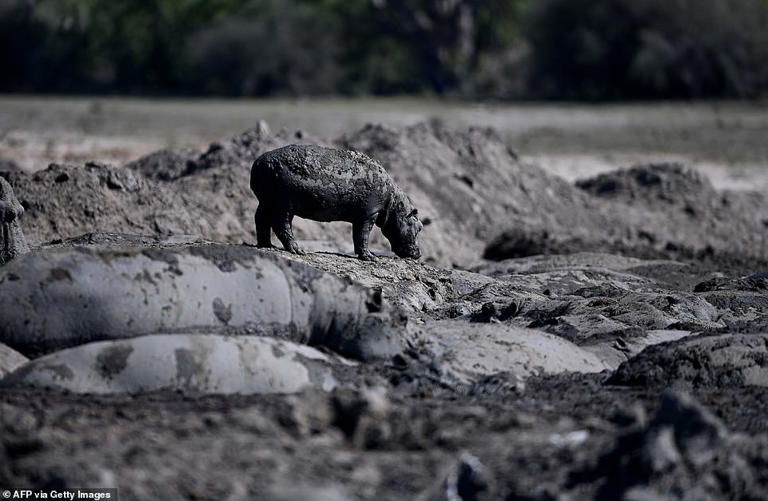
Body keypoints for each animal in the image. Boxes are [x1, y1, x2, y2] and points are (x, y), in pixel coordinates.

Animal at [250, 144, 424, 260]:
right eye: (420, 226)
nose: (419, 253)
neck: (394, 203)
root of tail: (257, 163)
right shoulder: (369, 215)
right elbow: (363, 235)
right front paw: (371, 257)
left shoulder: (360, 216)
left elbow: (357, 236)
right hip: (283, 205)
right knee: (281, 225)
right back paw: (298, 250)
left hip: (266, 202)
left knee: (261, 220)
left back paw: (267, 245)